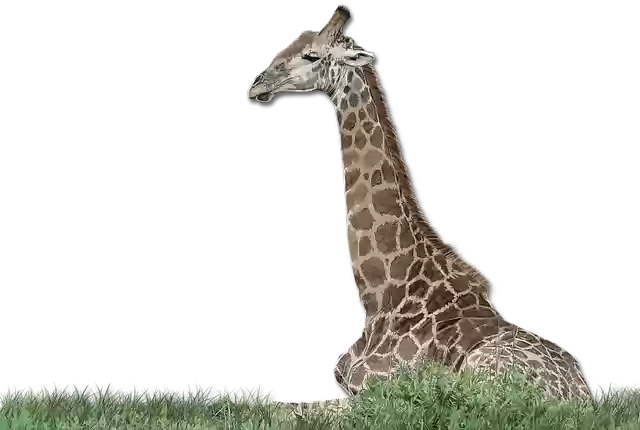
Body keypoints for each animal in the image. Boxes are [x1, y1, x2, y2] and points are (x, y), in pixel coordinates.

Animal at [246, 2, 592, 417]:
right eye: (293, 42)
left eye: (312, 56)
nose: (256, 85)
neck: (381, 296)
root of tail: (581, 401)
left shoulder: (378, 389)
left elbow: (278, 407)